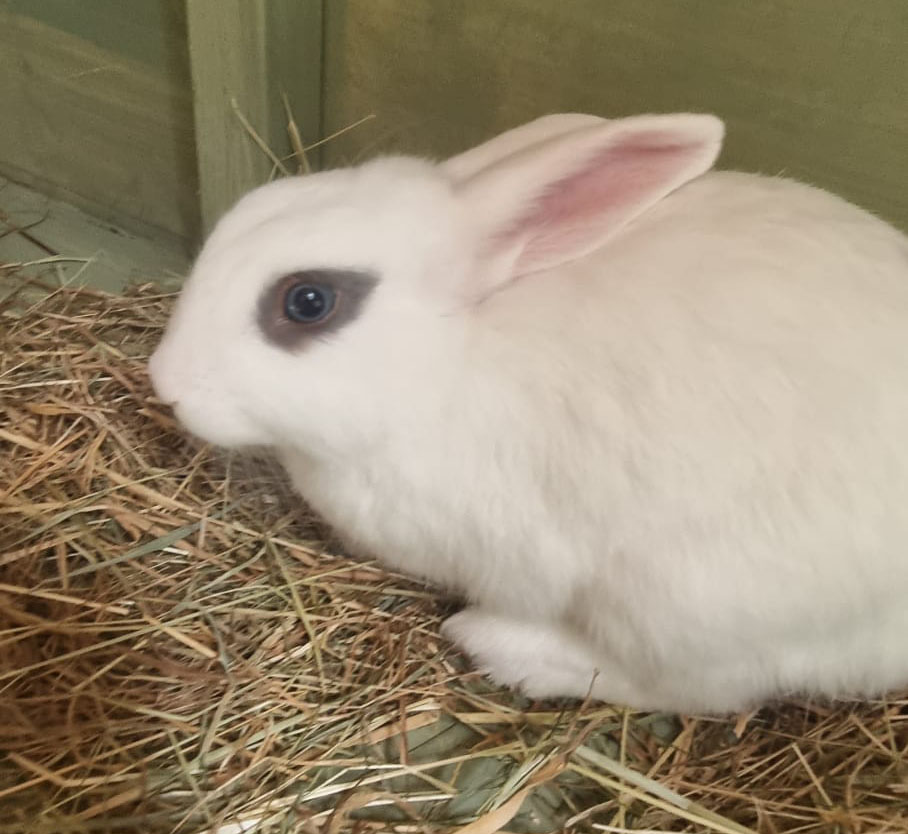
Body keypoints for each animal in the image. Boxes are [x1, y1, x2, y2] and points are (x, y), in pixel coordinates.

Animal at [149, 112, 908, 714]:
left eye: (308, 301)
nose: (165, 382)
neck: (443, 366)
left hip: (690, 606)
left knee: (697, 692)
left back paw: (501, 646)